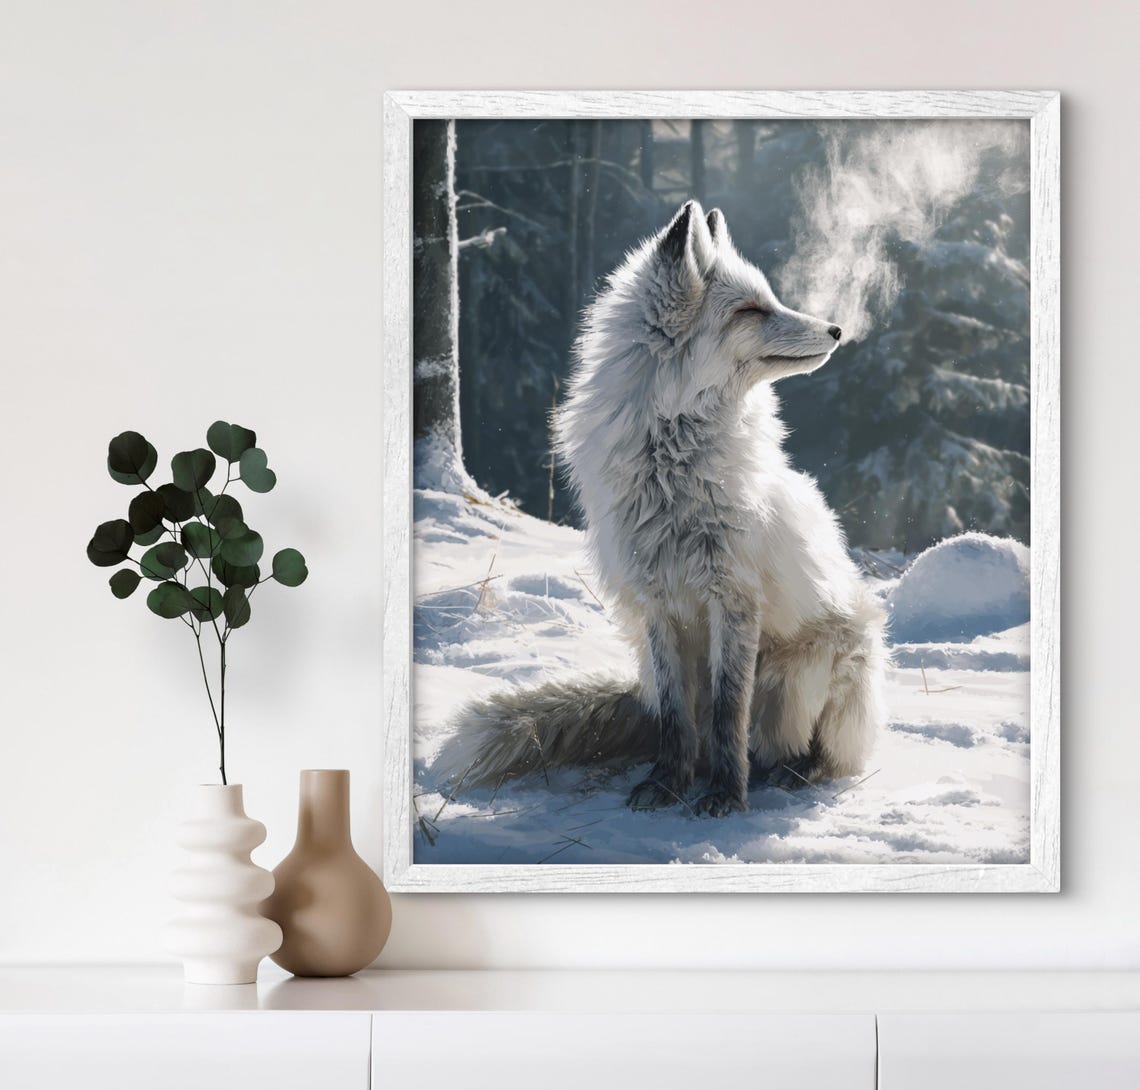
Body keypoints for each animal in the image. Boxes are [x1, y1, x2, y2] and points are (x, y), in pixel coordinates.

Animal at [436, 200, 887, 816]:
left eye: (770, 299)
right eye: (751, 310)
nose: (837, 329)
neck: (671, 468)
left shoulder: (734, 597)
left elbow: (727, 713)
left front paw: (725, 795)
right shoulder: (657, 603)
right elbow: (679, 722)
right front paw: (668, 784)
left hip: (805, 672)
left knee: (814, 747)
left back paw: (796, 771)